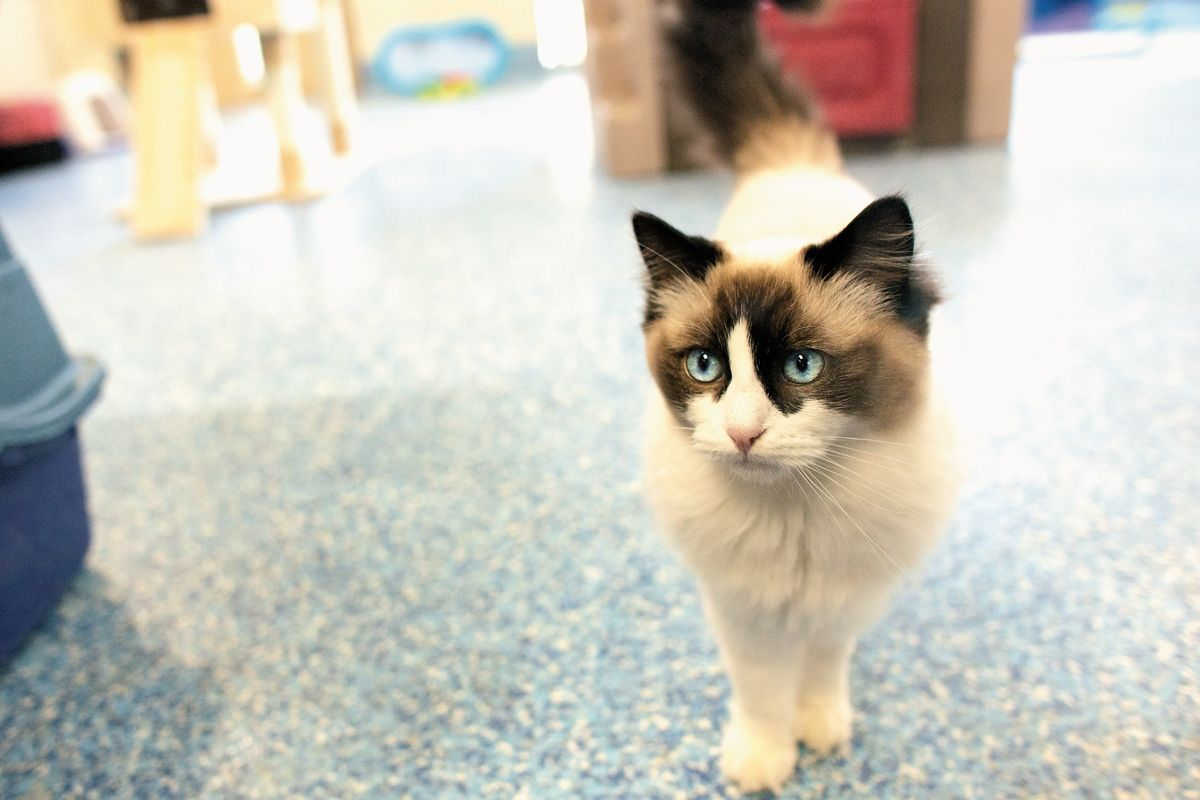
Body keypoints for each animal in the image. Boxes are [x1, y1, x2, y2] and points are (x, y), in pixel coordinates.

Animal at [633, 0, 960, 791]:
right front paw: (763, 760)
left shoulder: (846, 598)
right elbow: (760, 690)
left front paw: (819, 730)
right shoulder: (742, 608)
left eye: (803, 367)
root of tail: (793, 164)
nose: (744, 434)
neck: (797, 514)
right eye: (705, 366)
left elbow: (820, 669)